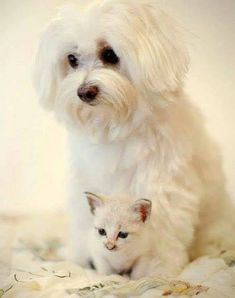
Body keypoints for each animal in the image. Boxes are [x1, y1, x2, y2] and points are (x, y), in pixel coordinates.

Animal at [34, 0, 235, 278]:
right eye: (72, 59)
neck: (116, 125)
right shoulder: (87, 181)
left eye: (110, 54)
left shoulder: (161, 185)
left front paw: (157, 267)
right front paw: (84, 257)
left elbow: (161, 229)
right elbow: (87, 219)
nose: (84, 92)